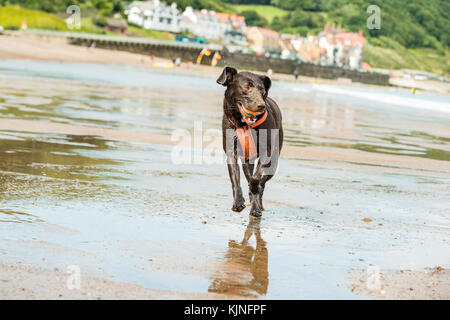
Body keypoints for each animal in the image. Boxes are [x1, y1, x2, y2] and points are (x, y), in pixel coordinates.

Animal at [216, 67, 284, 218]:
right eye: (247, 87)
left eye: (262, 90)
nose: (261, 106)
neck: (243, 125)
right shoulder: (232, 152)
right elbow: (235, 178)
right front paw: (238, 202)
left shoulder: (266, 154)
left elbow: (256, 179)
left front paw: (254, 193)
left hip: (274, 163)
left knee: (262, 182)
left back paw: (257, 206)